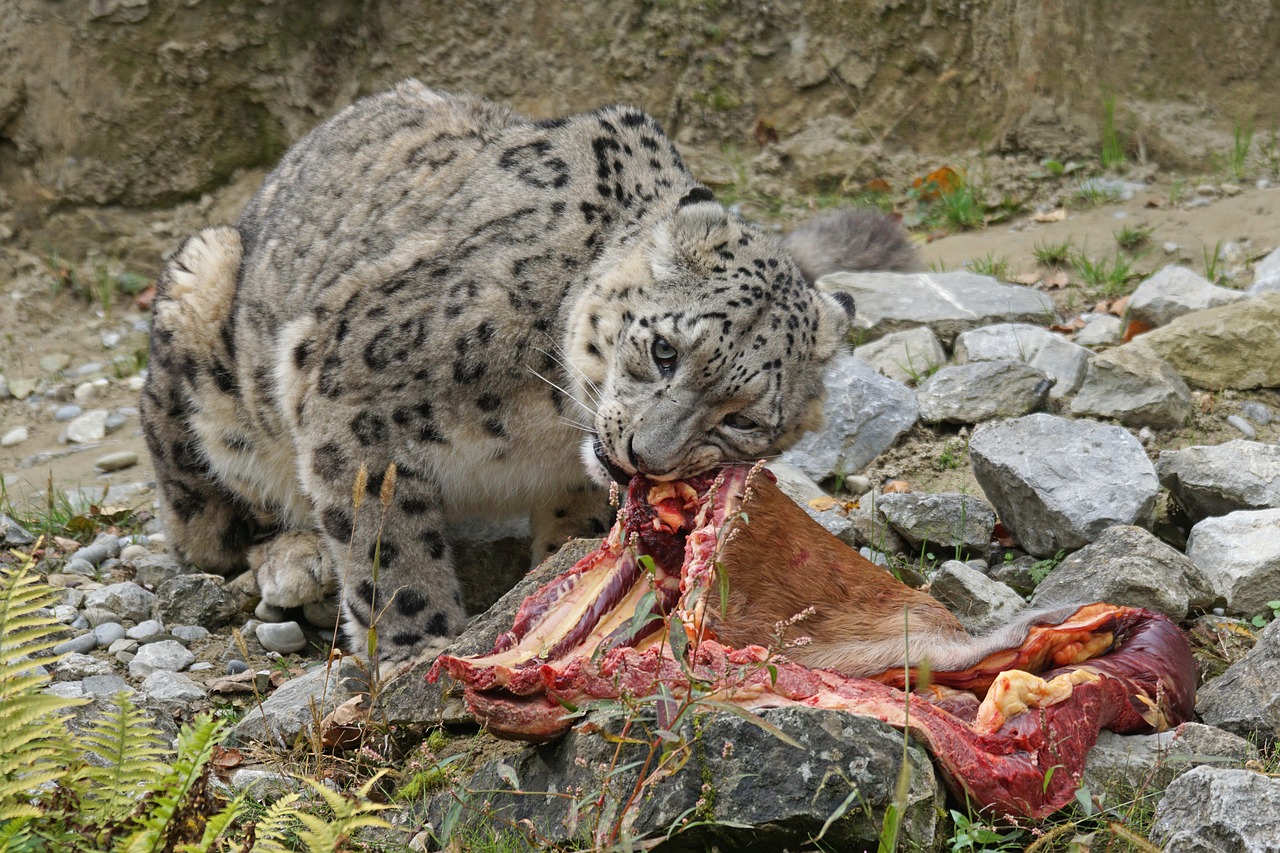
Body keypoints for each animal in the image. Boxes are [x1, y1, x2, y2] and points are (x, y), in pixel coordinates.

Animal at [141, 80, 918, 665]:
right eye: (664, 350)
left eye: (743, 419)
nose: (648, 454)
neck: (541, 420)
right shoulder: (351, 380)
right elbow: (386, 541)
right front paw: (418, 647)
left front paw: (565, 591)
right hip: (202, 320)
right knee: (206, 528)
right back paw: (294, 555)